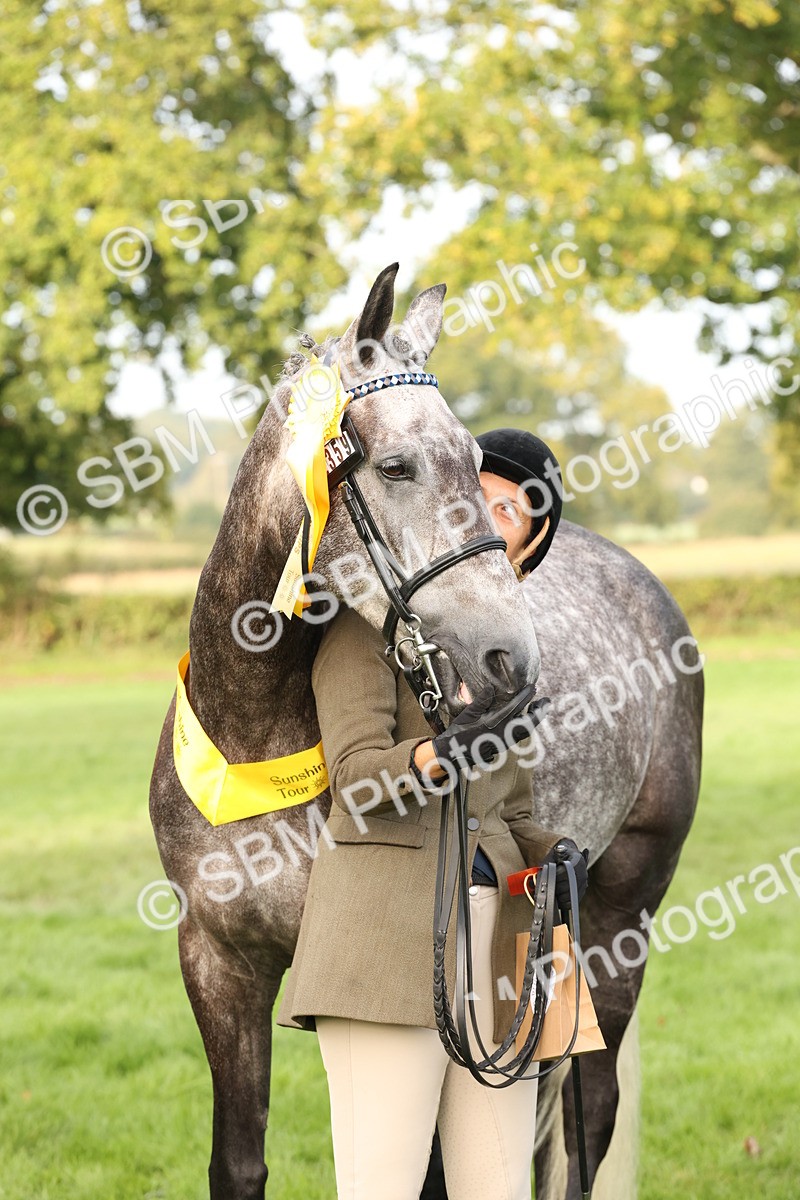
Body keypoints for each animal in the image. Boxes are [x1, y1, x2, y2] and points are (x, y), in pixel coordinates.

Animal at [149, 262, 703, 1200]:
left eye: (474, 463)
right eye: (398, 466)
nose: (512, 657)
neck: (255, 738)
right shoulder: (220, 962)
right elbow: (239, 1161)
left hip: (620, 913)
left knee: (590, 1112)